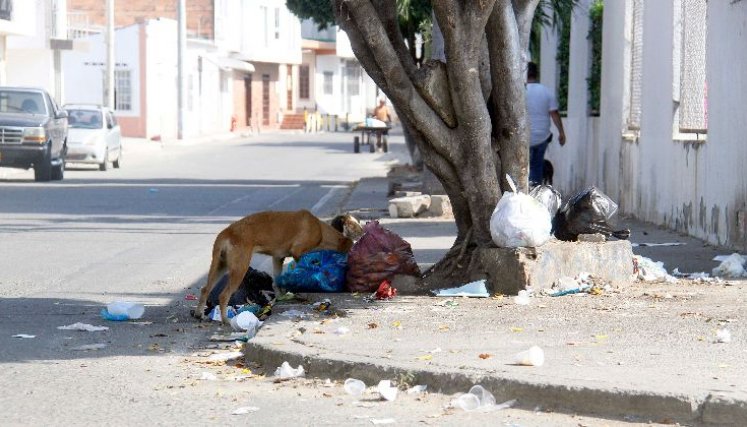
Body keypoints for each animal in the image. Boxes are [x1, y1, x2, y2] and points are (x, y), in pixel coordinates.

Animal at [193, 211, 362, 324]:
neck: (321, 230)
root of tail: (226, 233)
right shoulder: (298, 252)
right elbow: (302, 270)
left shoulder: (278, 257)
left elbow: (276, 280)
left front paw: (281, 296)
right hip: (239, 268)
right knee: (223, 295)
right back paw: (226, 321)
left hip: (219, 266)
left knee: (205, 289)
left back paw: (199, 314)